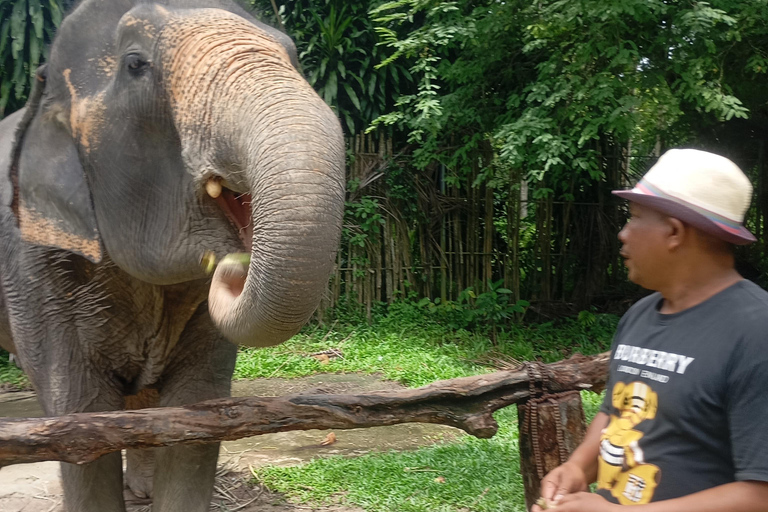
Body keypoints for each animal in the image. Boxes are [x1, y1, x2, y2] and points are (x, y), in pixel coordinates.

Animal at [0, 1, 344, 512]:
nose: (232, 267)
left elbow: (199, 409)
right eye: (135, 65)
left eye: (293, 54)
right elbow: (79, 415)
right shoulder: (35, 264)